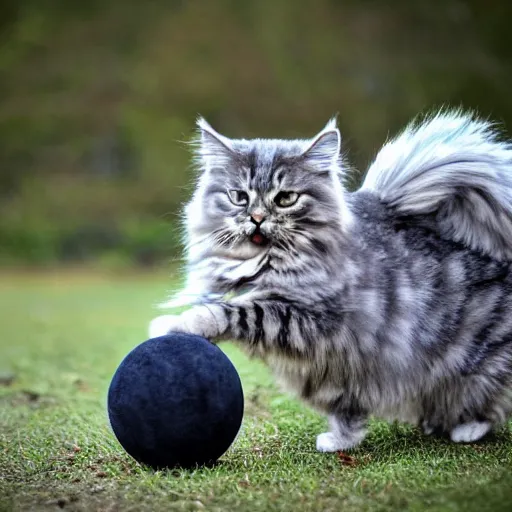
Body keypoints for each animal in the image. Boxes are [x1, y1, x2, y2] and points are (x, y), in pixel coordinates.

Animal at [148, 111, 512, 452]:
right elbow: (348, 414)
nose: (257, 218)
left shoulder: (313, 320)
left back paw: (466, 430)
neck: (268, 261)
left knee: (489, 405)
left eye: (285, 199)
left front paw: (176, 323)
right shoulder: (332, 369)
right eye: (239, 196)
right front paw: (339, 442)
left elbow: (237, 311)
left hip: (479, 367)